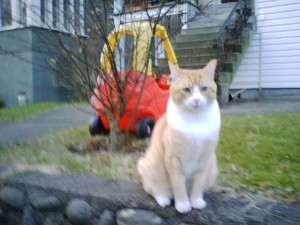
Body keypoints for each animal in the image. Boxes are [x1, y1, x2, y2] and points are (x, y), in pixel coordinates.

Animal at [137, 59, 220, 213]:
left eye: (204, 89)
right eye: (186, 90)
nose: (196, 100)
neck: (196, 120)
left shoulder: (204, 159)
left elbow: (198, 184)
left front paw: (196, 201)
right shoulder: (174, 159)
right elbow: (178, 184)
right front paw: (182, 204)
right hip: (152, 168)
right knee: (152, 189)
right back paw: (163, 198)